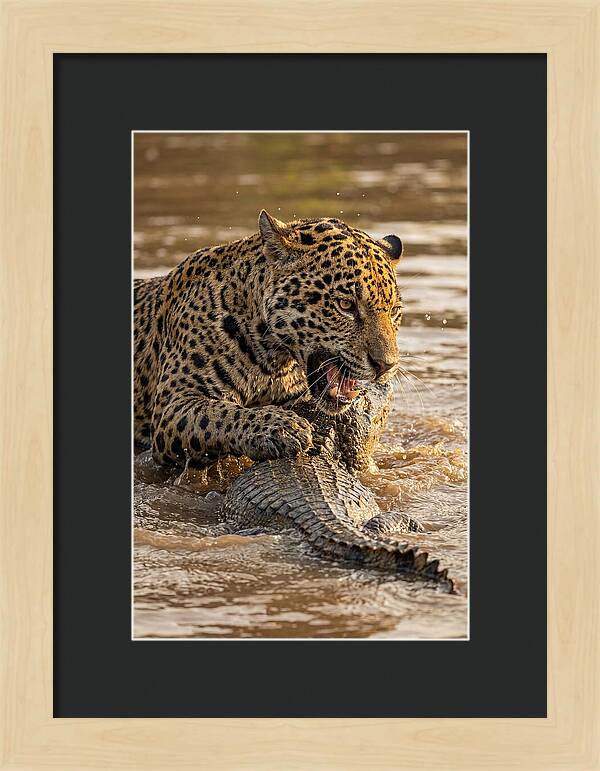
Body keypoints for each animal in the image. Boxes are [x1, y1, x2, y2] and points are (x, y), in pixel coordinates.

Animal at [134, 210, 404, 467]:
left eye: (394, 311)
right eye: (345, 305)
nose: (386, 365)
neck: (274, 360)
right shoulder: (174, 404)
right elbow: (220, 413)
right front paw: (282, 428)